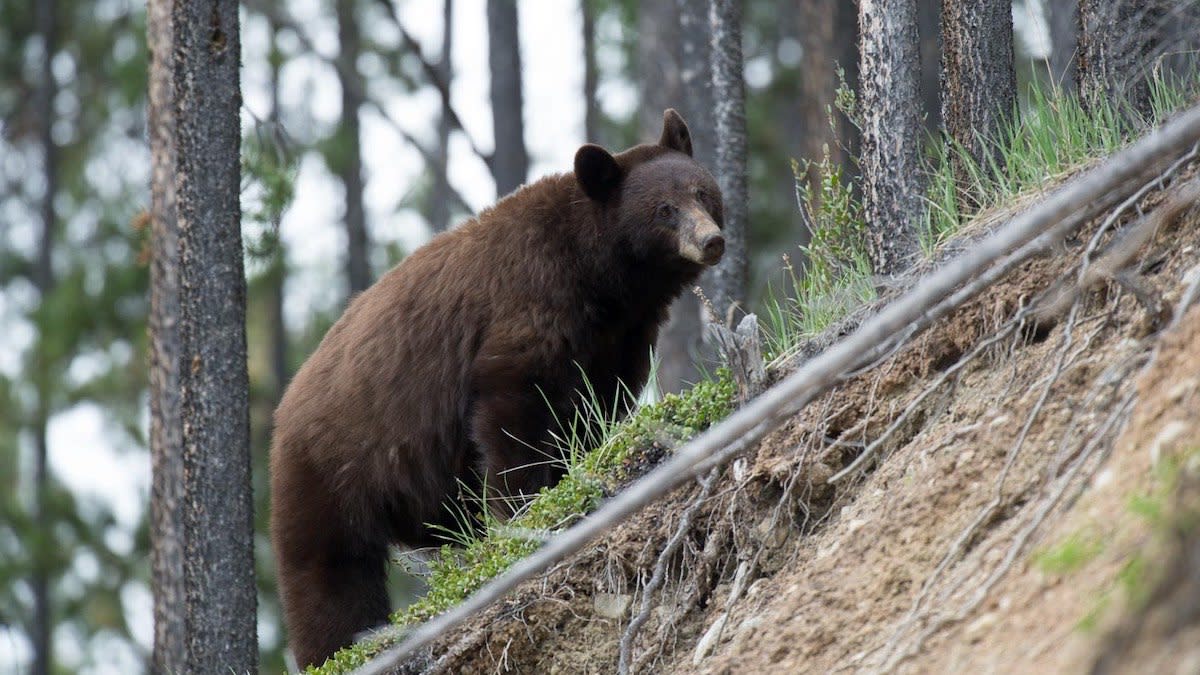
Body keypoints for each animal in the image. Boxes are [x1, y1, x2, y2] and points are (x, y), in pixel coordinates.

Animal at [270, 109, 725, 667]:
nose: (711, 240)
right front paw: (525, 513)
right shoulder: (524, 311)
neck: (599, 279)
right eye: (664, 209)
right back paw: (337, 647)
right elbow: (513, 419)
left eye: (702, 191)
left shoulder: (616, 342)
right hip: (331, 465)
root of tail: (286, 404)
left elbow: (596, 409)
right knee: (328, 567)